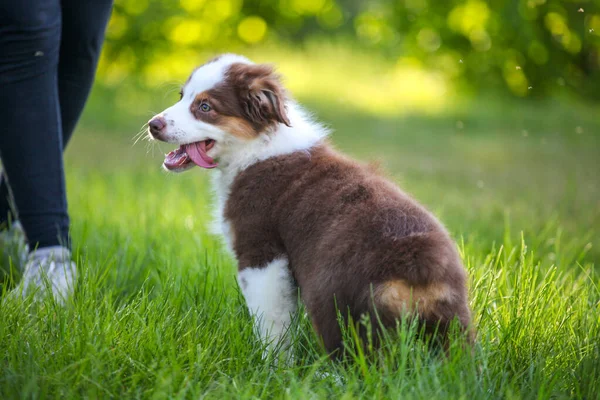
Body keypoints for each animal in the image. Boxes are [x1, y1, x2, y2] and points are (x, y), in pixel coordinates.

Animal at [146, 54, 474, 360]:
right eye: (182, 96)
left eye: (205, 107)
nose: (152, 125)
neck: (256, 147)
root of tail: (419, 265)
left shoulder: (262, 254)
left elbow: (272, 323)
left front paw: (273, 366)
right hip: (452, 321)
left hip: (333, 299)